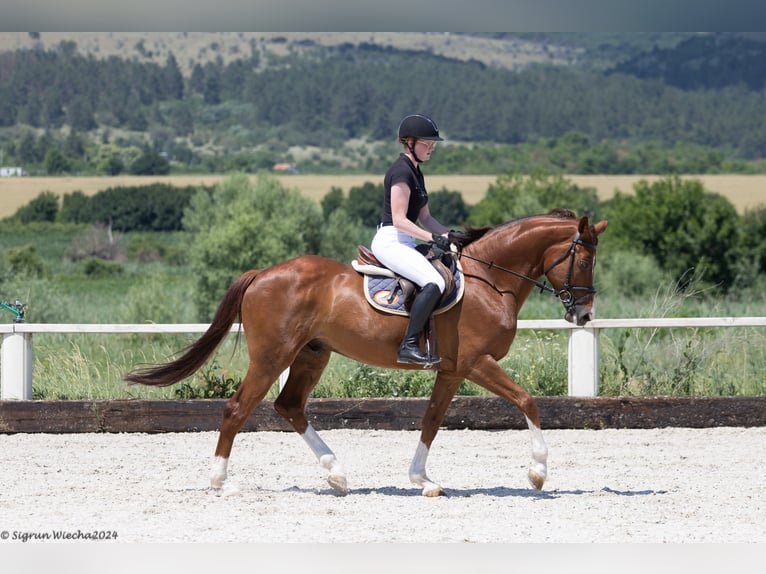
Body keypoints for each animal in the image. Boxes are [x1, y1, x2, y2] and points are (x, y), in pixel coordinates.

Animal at [123, 209, 608, 498]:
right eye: (584, 261)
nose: (584, 315)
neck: (490, 280)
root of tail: (263, 273)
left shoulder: (452, 371)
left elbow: (432, 421)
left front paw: (422, 480)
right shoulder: (476, 363)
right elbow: (528, 400)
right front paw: (538, 473)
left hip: (311, 354)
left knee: (289, 407)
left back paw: (336, 474)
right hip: (272, 357)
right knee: (237, 408)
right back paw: (220, 481)